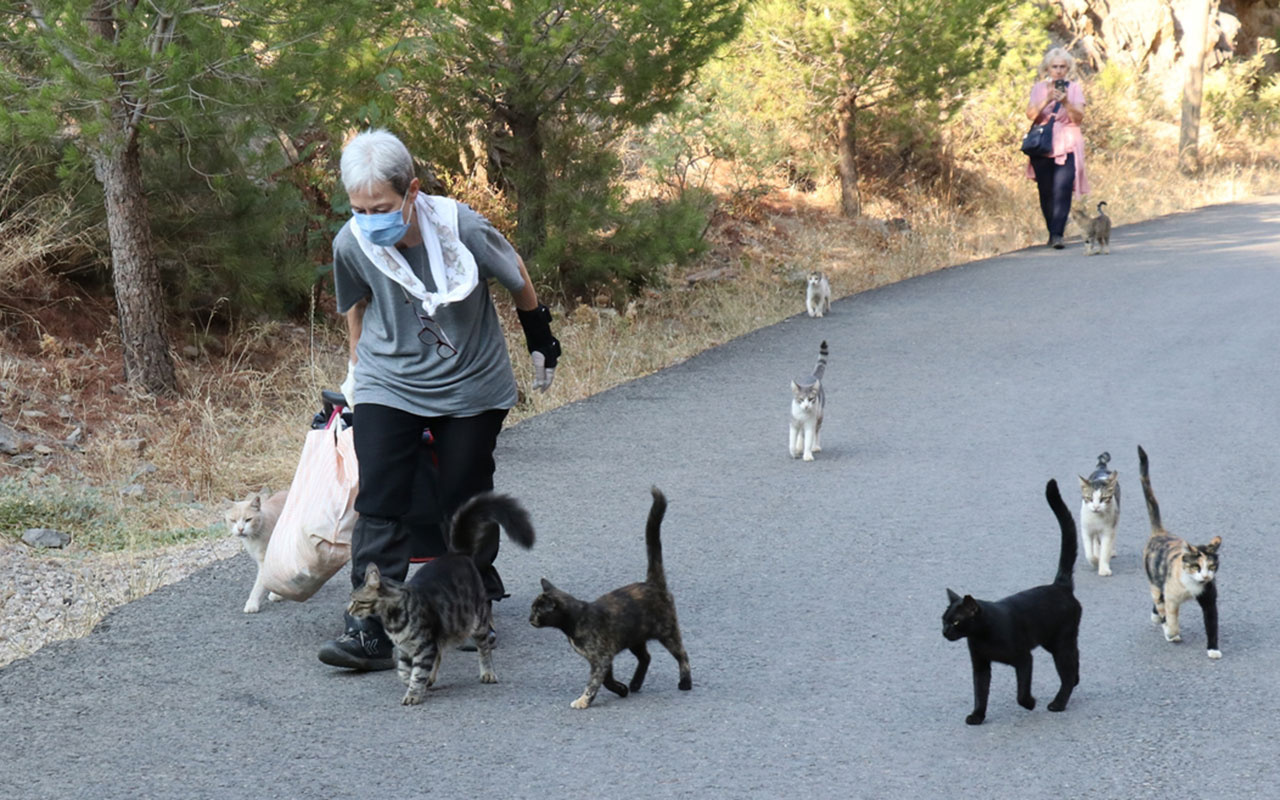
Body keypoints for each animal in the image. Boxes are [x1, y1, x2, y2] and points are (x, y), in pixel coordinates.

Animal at [345, 488, 535, 701]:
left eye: (356, 601)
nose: (348, 610)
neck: (392, 619)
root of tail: (457, 553)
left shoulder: (424, 645)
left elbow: (418, 672)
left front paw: (413, 694)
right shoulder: (406, 649)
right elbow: (404, 671)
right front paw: (410, 682)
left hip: (476, 621)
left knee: (484, 648)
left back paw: (487, 672)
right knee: (441, 654)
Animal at [527, 483, 691, 706]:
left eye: (538, 610)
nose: (529, 619)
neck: (575, 621)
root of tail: (652, 583)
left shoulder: (601, 657)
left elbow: (595, 682)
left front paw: (583, 701)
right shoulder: (604, 657)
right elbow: (606, 680)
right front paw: (621, 689)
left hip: (667, 631)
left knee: (682, 654)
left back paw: (685, 683)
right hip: (634, 637)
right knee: (646, 657)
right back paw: (635, 684)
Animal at [942, 476, 1080, 727]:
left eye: (956, 622)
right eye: (943, 620)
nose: (944, 632)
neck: (982, 637)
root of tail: (1059, 585)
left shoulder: (1024, 658)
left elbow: (1021, 692)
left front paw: (1030, 703)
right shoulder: (980, 664)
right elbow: (980, 692)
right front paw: (977, 716)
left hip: (1060, 643)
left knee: (1068, 669)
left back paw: (1058, 703)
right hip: (1052, 641)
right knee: (1076, 661)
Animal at [1141, 445, 1218, 660]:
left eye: (1211, 566)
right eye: (1195, 566)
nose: (1205, 576)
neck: (1192, 586)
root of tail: (1160, 532)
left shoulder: (1209, 599)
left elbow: (1212, 625)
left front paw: (1213, 649)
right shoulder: (1172, 598)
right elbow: (1171, 619)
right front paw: (1171, 633)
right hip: (1155, 581)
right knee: (1158, 601)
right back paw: (1161, 621)